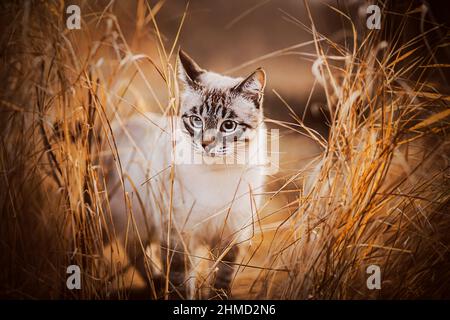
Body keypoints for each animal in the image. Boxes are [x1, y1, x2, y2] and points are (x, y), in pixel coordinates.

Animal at [106, 49, 268, 298]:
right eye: (196, 120)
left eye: (228, 125)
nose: (206, 143)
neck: (217, 173)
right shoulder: (178, 237)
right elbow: (182, 282)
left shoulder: (232, 235)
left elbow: (222, 280)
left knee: (134, 250)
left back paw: (155, 281)